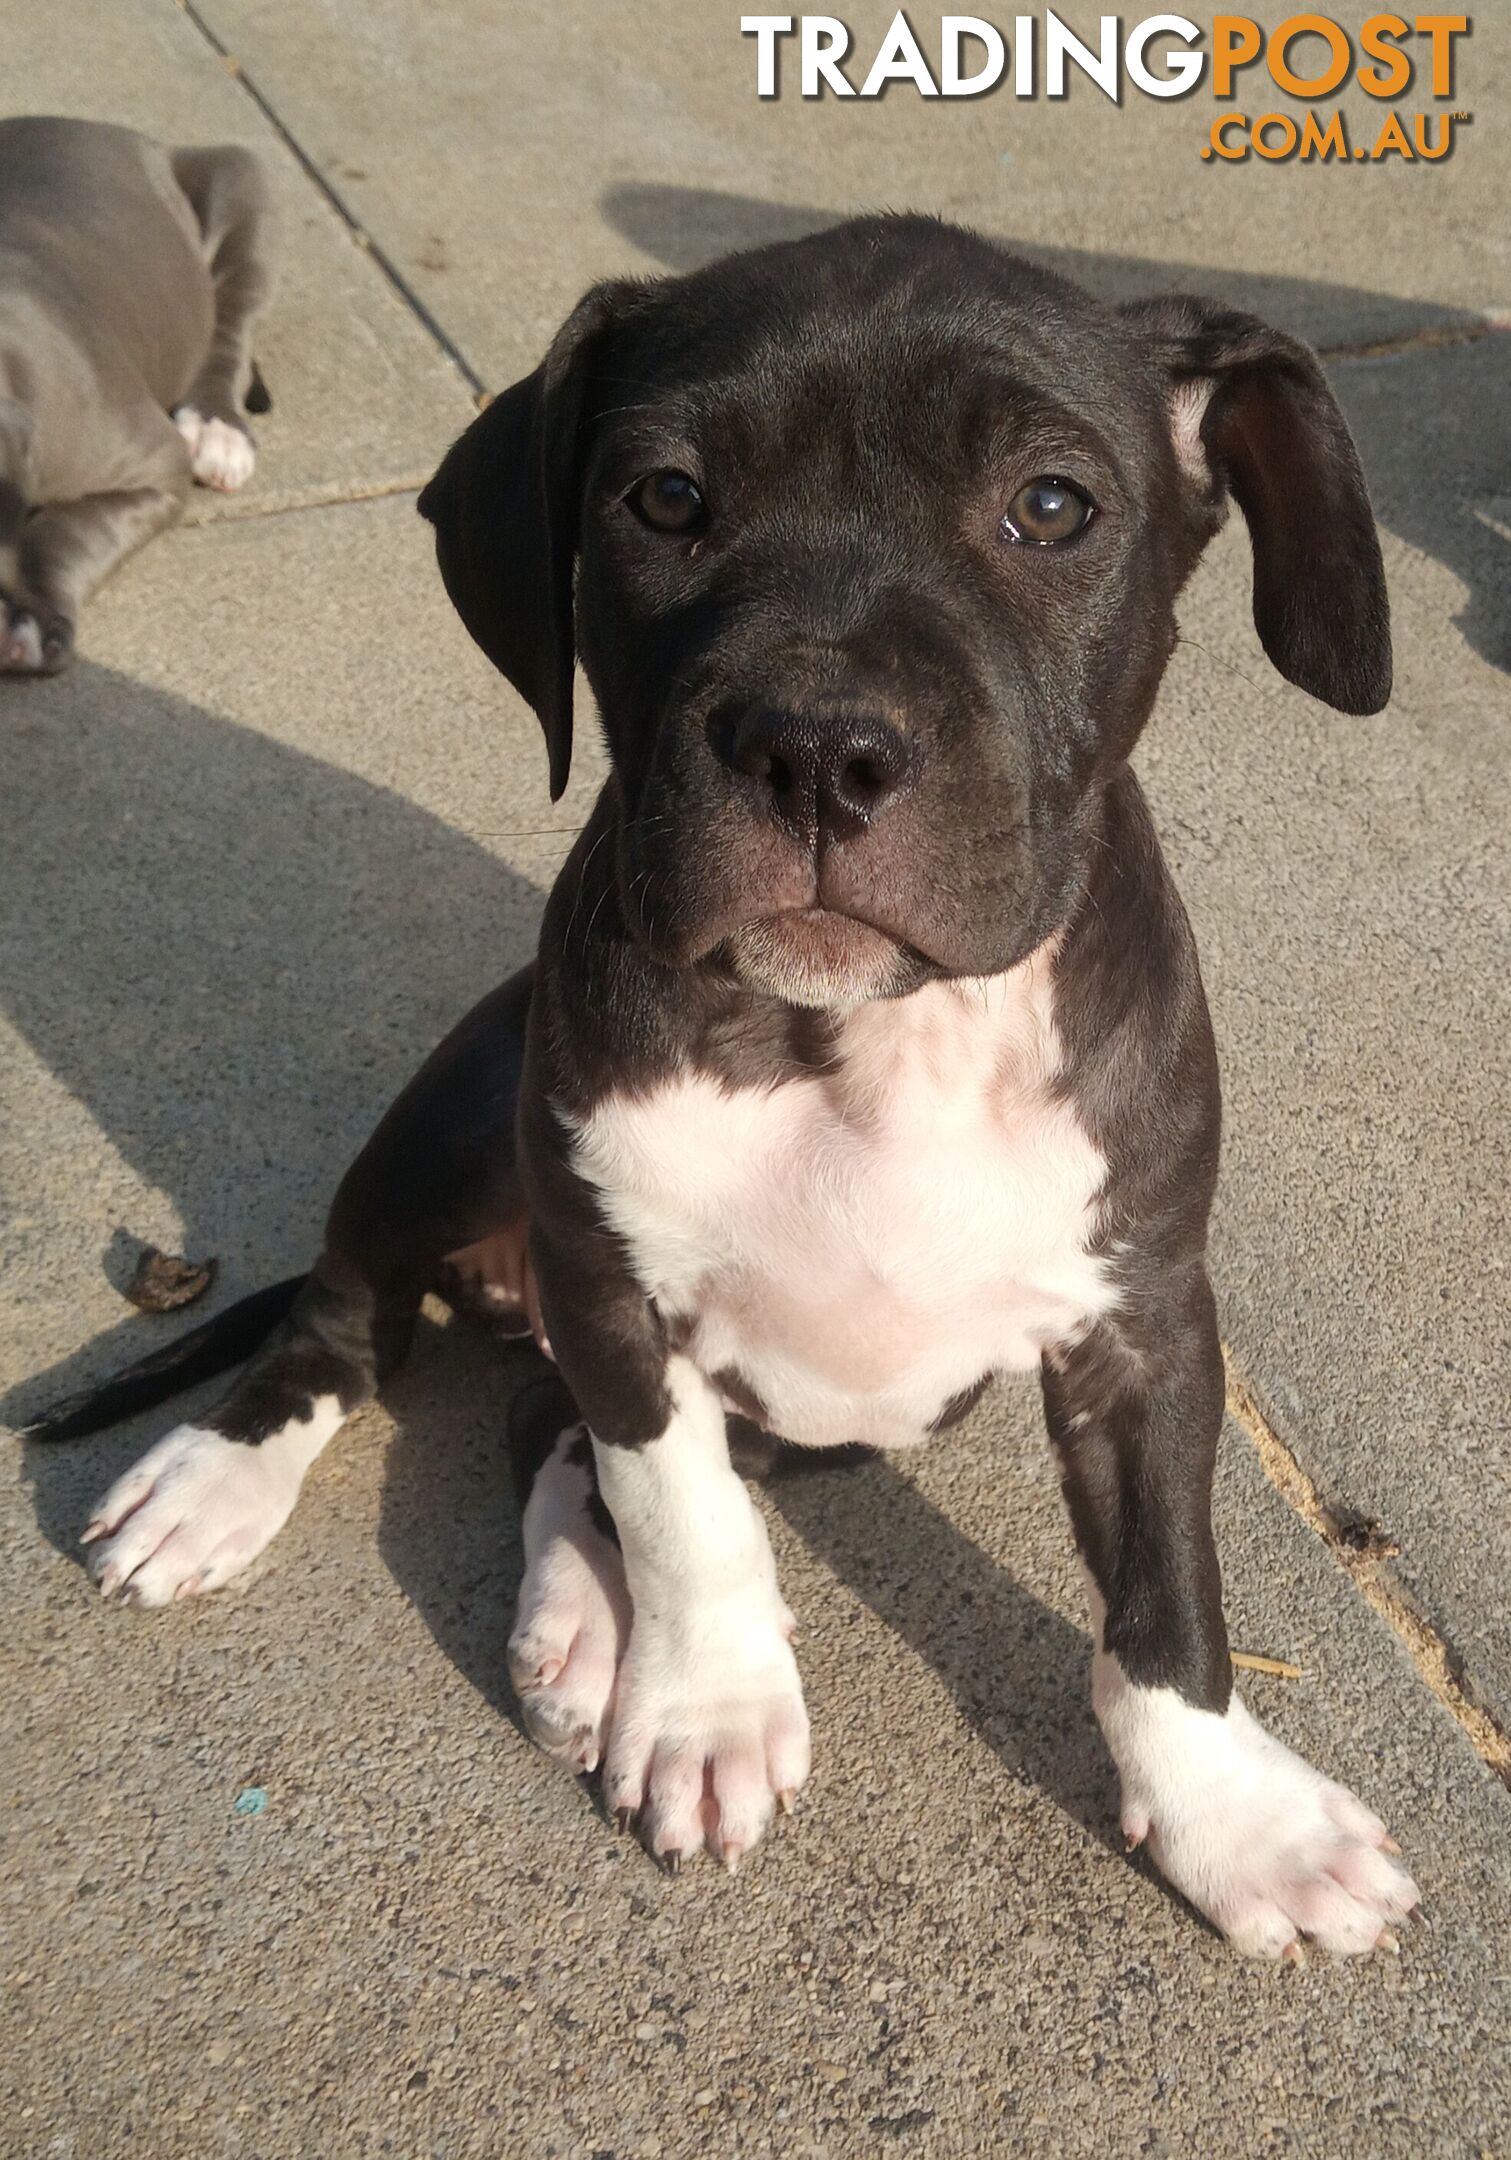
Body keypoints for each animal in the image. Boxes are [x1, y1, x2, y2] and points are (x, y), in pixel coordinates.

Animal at [0, 118, 278, 669]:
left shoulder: (154, 466)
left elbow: (64, 532)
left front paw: (28, 615)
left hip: (242, 182)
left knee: (231, 327)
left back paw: (216, 427)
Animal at [44, 214, 1416, 1961]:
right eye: (664, 500)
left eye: (1051, 507)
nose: (817, 748)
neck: (861, 1044)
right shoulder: (614, 1287)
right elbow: (683, 1516)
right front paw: (705, 1714)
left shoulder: (1144, 1318)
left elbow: (1165, 1591)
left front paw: (1232, 1815)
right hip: (458, 1112)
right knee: (361, 1316)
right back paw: (231, 1481)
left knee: (539, 1425)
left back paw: (575, 1622)